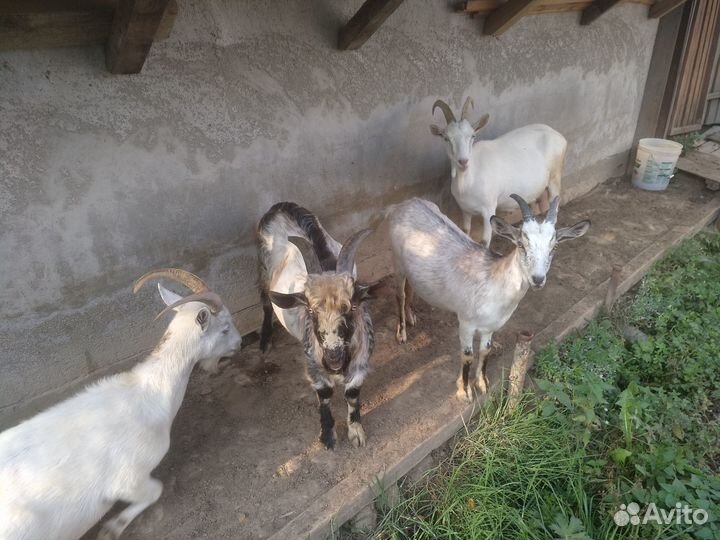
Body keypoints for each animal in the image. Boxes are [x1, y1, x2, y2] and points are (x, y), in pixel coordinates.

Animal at [0, 269, 242, 540]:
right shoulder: (129, 478)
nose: (240, 343)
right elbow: (155, 490)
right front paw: (111, 528)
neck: (147, 394)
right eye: (224, 328)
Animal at [257, 202, 384, 449]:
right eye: (311, 310)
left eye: (353, 307)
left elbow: (352, 394)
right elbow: (324, 395)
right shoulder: (313, 365)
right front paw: (328, 436)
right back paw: (265, 341)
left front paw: (356, 431)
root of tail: (279, 206)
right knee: (265, 300)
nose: (333, 356)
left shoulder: (361, 361)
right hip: (263, 269)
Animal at [387, 195, 589, 401]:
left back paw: (411, 316)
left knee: (411, 286)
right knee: (399, 293)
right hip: (397, 262)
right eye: (521, 244)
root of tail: (403, 204)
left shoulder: (492, 325)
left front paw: (482, 383)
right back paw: (402, 332)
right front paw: (465, 391)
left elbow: (486, 350)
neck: (494, 283)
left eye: (554, 247)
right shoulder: (465, 322)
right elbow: (467, 355)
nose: (538, 279)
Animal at [430, 97, 567, 246]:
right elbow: (465, 231)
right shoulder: (465, 210)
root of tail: (558, 135)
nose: (463, 161)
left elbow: (484, 242)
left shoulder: (488, 209)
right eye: (446, 138)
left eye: (472, 135)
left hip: (555, 177)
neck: (469, 180)